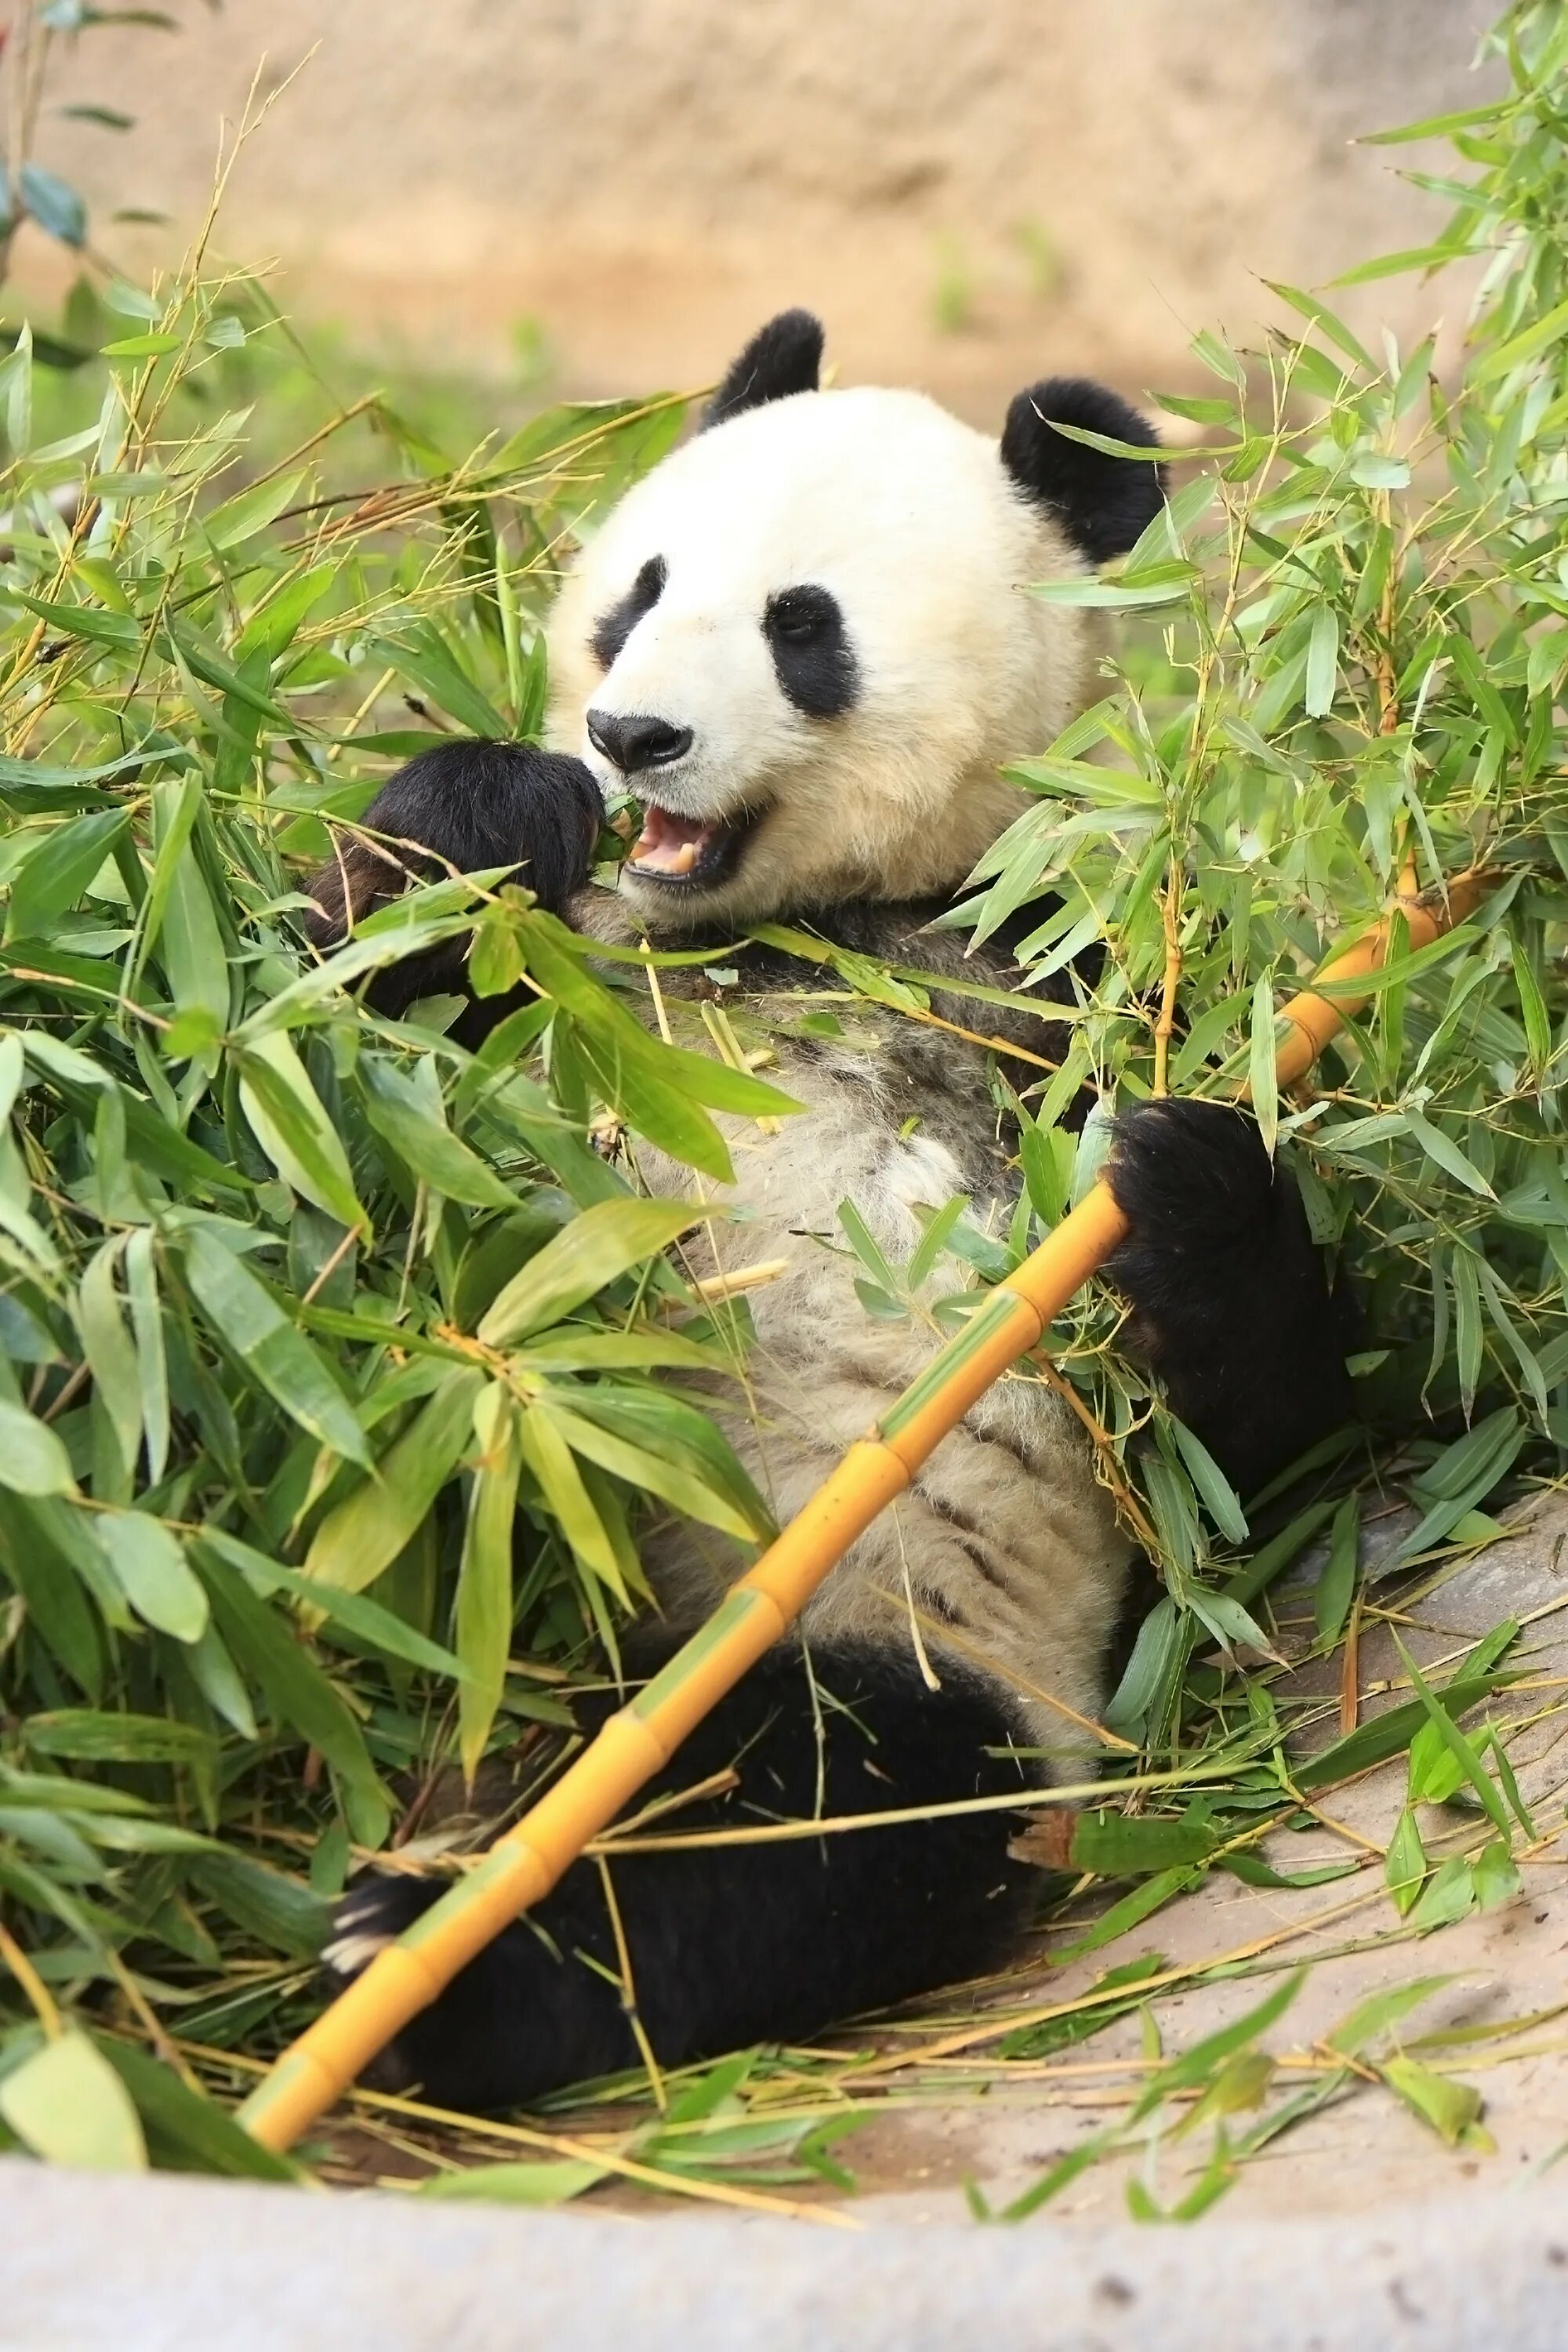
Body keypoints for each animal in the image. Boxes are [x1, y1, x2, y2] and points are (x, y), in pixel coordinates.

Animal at [314, 313, 1354, 2117]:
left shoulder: (1051, 981)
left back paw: (430, 1962)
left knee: (787, 1832)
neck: (791, 929)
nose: (631, 737)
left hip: (886, 1628)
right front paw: (487, 817)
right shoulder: (567, 1000)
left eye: (804, 629)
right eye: (643, 588)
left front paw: (1186, 1182)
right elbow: (310, 1067)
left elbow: (1263, 1448)